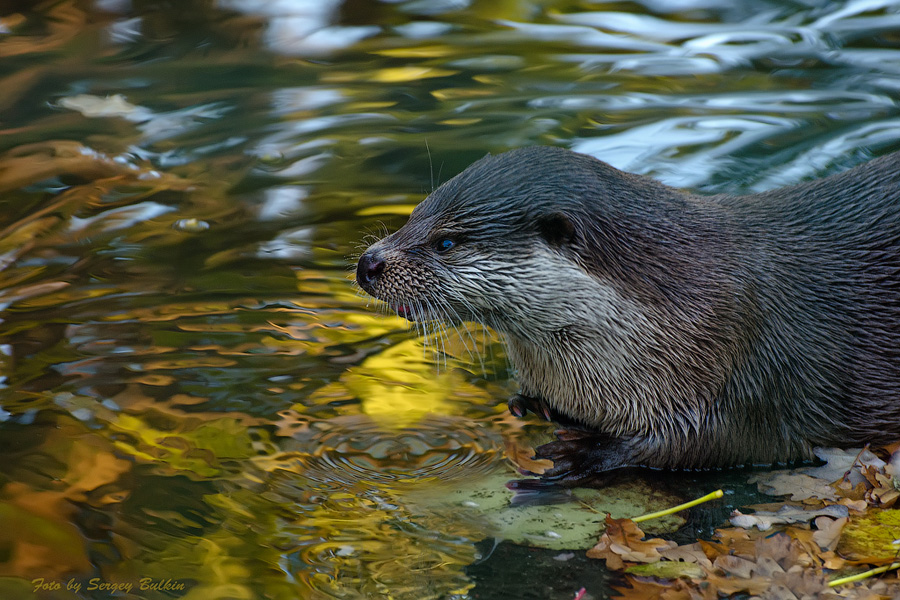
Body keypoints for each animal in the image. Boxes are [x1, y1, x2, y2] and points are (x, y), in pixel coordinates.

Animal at [356, 145, 900, 488]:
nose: (368, 264)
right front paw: (533, 405)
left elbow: (726, 443)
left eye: (446, 242)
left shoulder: (750, 356)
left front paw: (585, 454)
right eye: (413, 215)